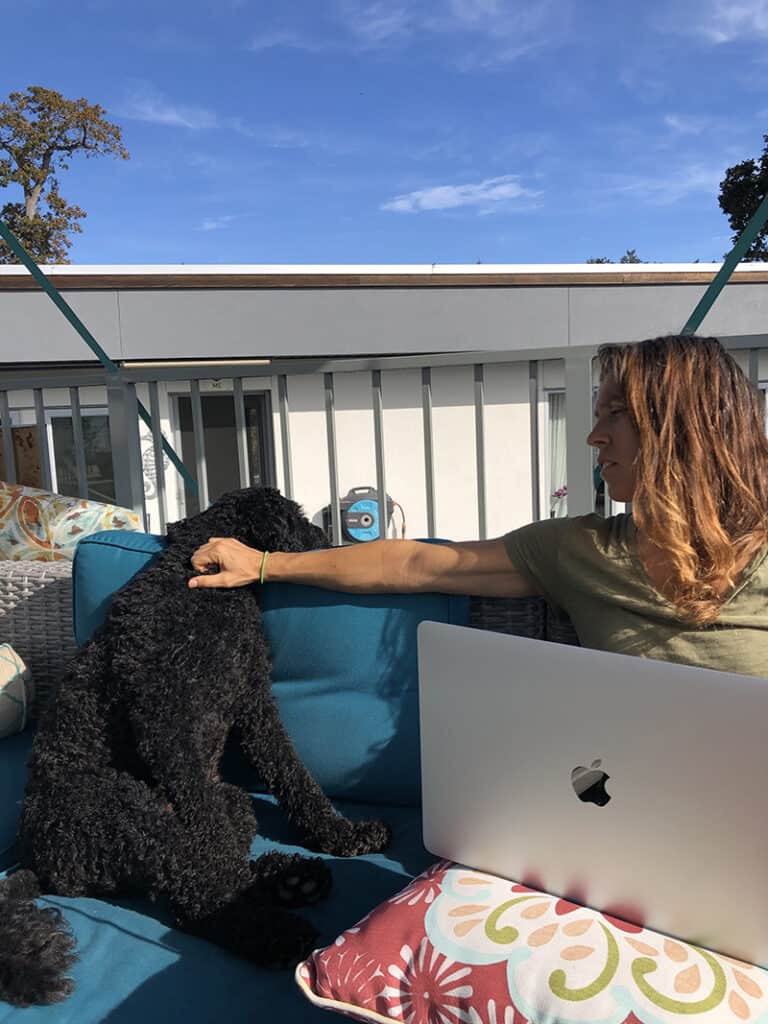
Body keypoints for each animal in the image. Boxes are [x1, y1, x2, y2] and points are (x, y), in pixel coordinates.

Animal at [0, 487, 393, 1007]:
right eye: (298, 517)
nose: (325, 535)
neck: (191, 578)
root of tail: (32, 858)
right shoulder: (170, 725)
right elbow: (235, 812)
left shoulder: (252, 700)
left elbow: (292, 774)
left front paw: (342, 835)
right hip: (124, 810)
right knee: (197, 888)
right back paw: (273, 926)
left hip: (196, 807)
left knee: (220, 842)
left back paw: (291, 878)